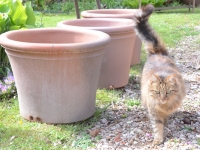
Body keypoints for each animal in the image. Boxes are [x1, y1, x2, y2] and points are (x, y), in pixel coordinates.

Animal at [133, 4, 186, 145]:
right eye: (157, 92)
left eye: (167, 92)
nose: (162, 99)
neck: (163, 106)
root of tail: (157, 52)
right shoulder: (154, 111)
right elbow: (157, 126)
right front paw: (158, 139)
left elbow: (164, 119)